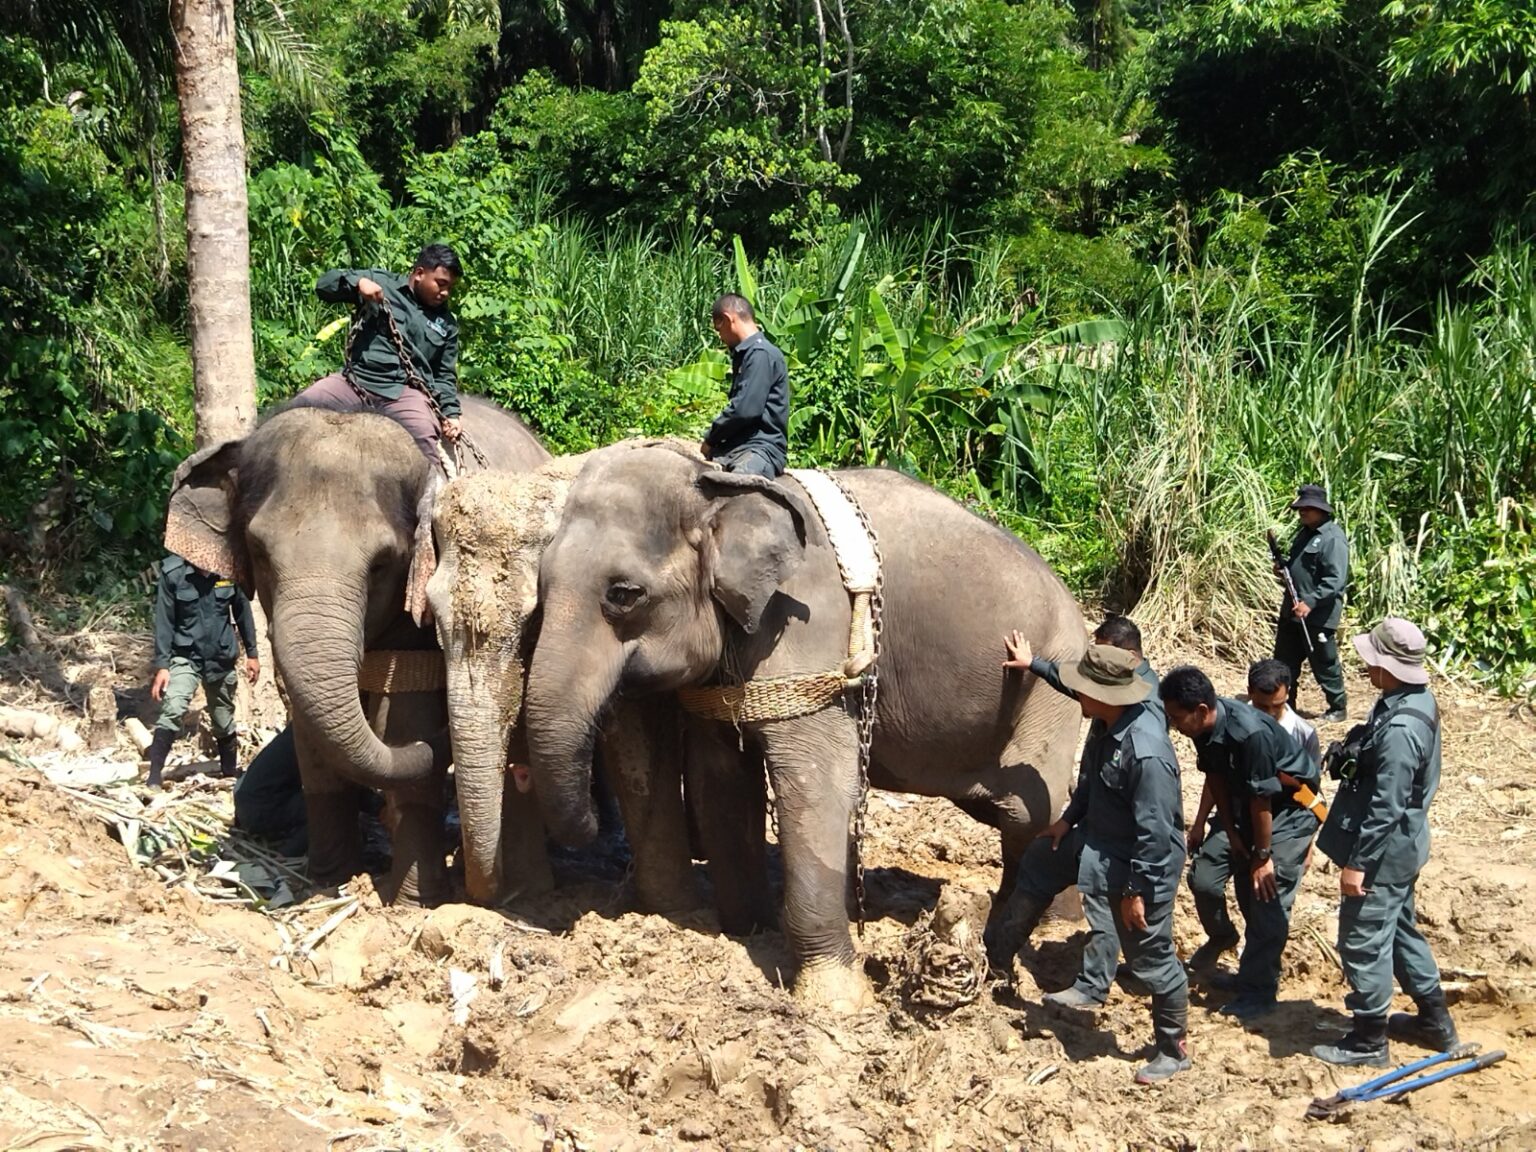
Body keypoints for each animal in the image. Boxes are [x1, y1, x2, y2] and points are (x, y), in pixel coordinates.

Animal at [165, 402, 549, 909]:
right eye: (260, 552)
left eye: (383, 563)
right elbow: (313, 744)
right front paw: (330, 881)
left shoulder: (421, 605)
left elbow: (406, 715)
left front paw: (412, 903)